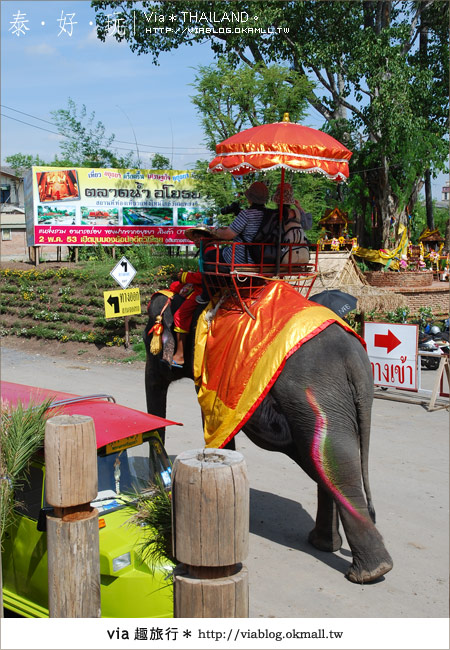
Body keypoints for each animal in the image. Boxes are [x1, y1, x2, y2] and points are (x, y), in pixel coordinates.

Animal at [145, 290, 394, 584]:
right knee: (327, 460)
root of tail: (355, 359)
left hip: (314, 397)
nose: (155, 491)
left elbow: (214, 423)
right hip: (332, 403)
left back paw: (370, 572)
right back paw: (335, 550)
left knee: (333, 464)